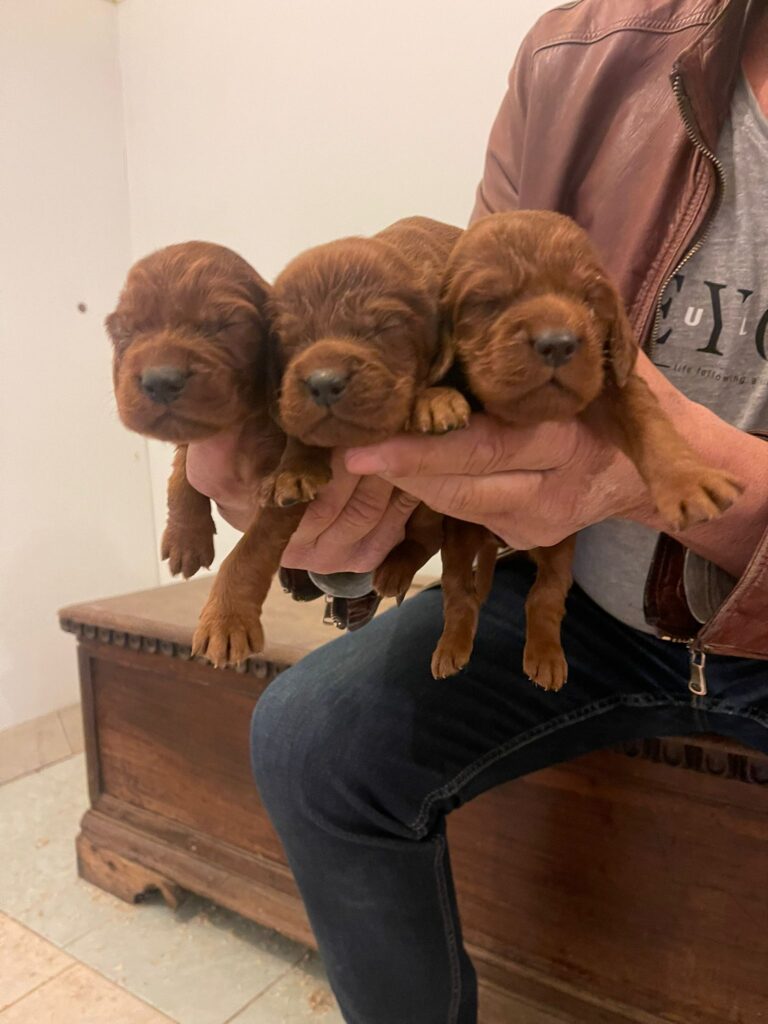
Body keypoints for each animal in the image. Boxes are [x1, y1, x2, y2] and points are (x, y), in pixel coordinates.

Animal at [433, 210, 745, 688]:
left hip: (558, 545)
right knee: (457, 588)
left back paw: (545, 655)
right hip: (462, 532)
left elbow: (648, 419)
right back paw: (452, 646)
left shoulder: (611, 376)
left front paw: (689, 480)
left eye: (588, 299)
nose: (558, 343)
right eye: (488, 300)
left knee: (545, 594)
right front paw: (435, 402)